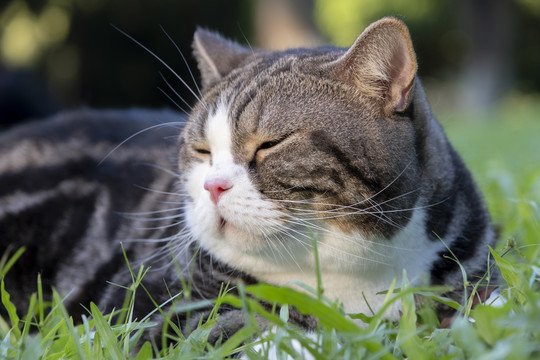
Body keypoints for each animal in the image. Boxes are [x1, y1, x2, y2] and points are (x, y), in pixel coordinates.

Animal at [0, 17, 498, 346]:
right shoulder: (141, 307)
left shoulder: (472, 272)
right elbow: (240, 324)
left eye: (269, 145)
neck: (353, 268)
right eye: (202, 151)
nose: (212, 186)